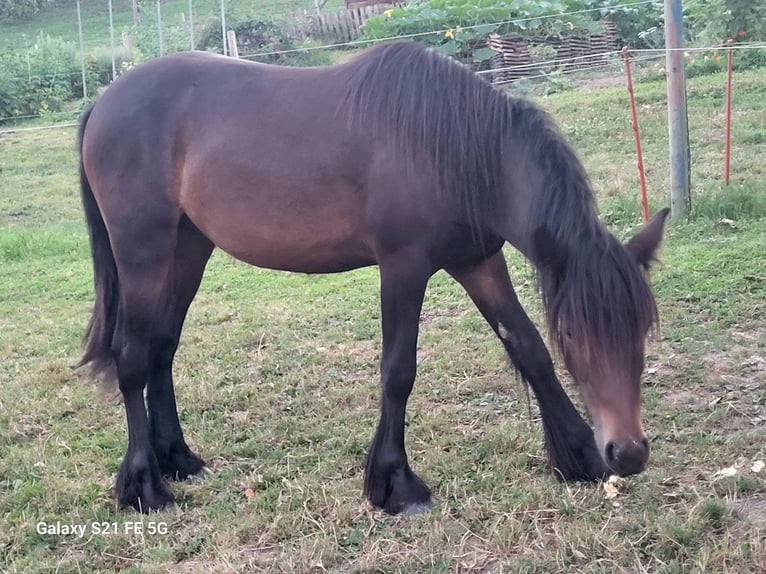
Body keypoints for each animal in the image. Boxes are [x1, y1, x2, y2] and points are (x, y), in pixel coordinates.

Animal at [75, 41, 668, 516]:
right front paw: (396, 485)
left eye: (642, 328)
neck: (451, 146)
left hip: (187, 249)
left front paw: (578, 456)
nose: (627, 452)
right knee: (132, 357)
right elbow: (399, 372)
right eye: (573, 332)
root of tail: (104, 101)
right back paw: (145, 487)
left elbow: (526, 348)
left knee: (162, 347)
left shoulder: (477, 262)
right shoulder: (403, 267)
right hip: (143, 251)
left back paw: (178, 459)